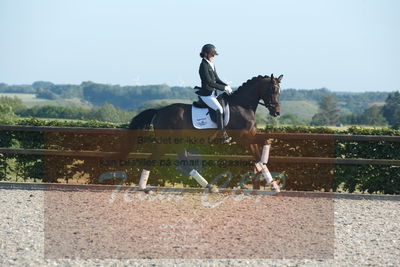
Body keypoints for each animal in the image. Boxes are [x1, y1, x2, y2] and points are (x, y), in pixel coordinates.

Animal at [123, 74, 282, 191]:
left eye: (279, 91)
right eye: (272, 89)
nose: (276, 112)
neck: (242, 105)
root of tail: (159, 111)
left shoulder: (250, 137)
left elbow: (259, 153)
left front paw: (273, 184)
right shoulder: (244, 137)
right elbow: (265, 143)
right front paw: (264, 165)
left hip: (176, 142)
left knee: (182, 161)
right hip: (167, 142)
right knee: (157, 159)